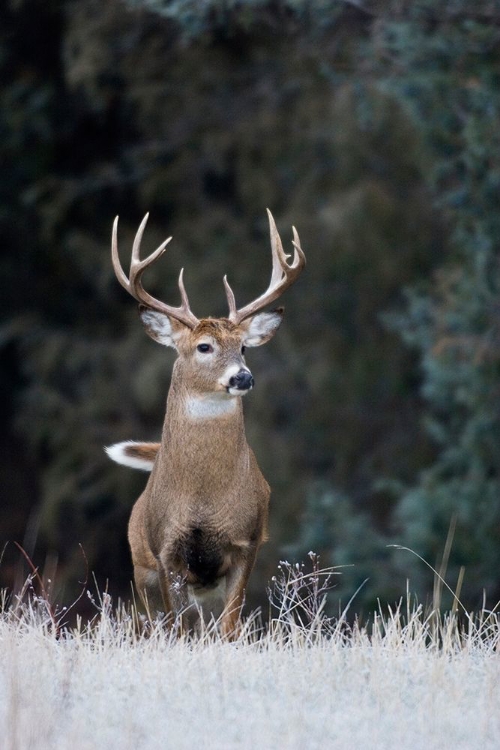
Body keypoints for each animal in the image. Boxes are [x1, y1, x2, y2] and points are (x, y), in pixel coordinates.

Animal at [105, 209, 304, 636]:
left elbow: (229, 625)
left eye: (244, 347)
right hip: (140, 568)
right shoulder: (165, 550)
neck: (203, 500)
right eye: (204, 347)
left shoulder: (247, 540)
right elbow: (179, 627)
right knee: (157, 623)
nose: (242, 377)